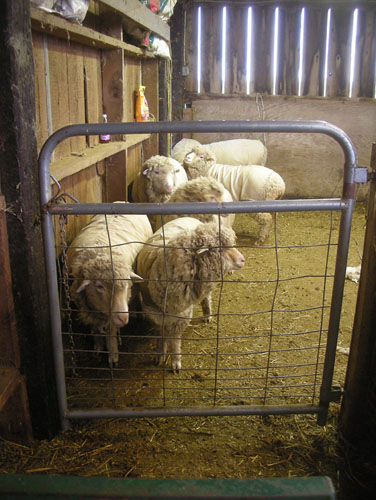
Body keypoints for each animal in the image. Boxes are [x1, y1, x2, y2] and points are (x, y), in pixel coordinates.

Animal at [66, 209, 153, 366]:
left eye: (128, 285)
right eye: (99, 286)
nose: (123, 318)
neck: (101, 252)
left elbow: (110, 333)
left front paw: (113, 355)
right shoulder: (89, 308)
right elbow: (95, 328)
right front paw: (98, 347)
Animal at [137, 217, 245, 374]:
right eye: (220, 249)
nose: (243, 260)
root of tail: (189, 217)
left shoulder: (182, 314)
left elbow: (175, 339)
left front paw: (175, 361)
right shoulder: (152, 310)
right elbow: (160, 333)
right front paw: (160, 353)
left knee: (206, 297)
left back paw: (207, 314)